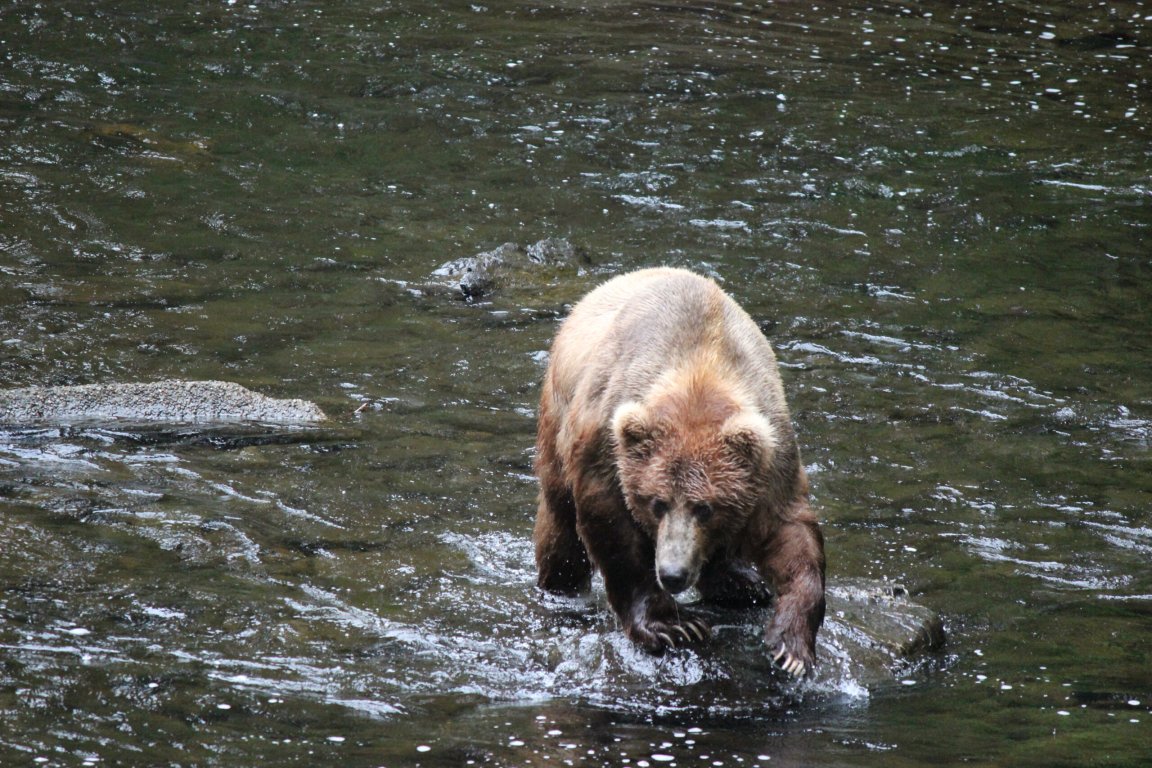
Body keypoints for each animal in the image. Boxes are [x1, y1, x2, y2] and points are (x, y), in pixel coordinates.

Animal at [533, 267, 825, 677]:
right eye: (657, 503)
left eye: (705, 507)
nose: (672, 573)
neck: (699, 368)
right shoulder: (606, 443)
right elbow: (611, 527)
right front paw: (672, 626)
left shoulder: (771, 455)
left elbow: (791, 533)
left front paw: (792, 647)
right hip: (557, 425)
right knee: (560, 525)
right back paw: (561, 587)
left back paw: (740, 583)